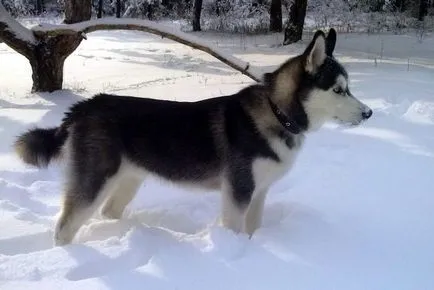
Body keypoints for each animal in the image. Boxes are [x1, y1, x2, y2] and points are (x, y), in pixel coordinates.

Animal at [14, 28, 372, 246]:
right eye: (338, 90)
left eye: (349, 87)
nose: (369, 113)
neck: (278, 113)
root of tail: (83, 106)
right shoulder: (238, 191)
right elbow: (234, 226)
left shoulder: (259, 191)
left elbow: (253, 227)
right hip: (96, 179)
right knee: (65, 226)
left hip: (128, 179)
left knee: (108, 211)